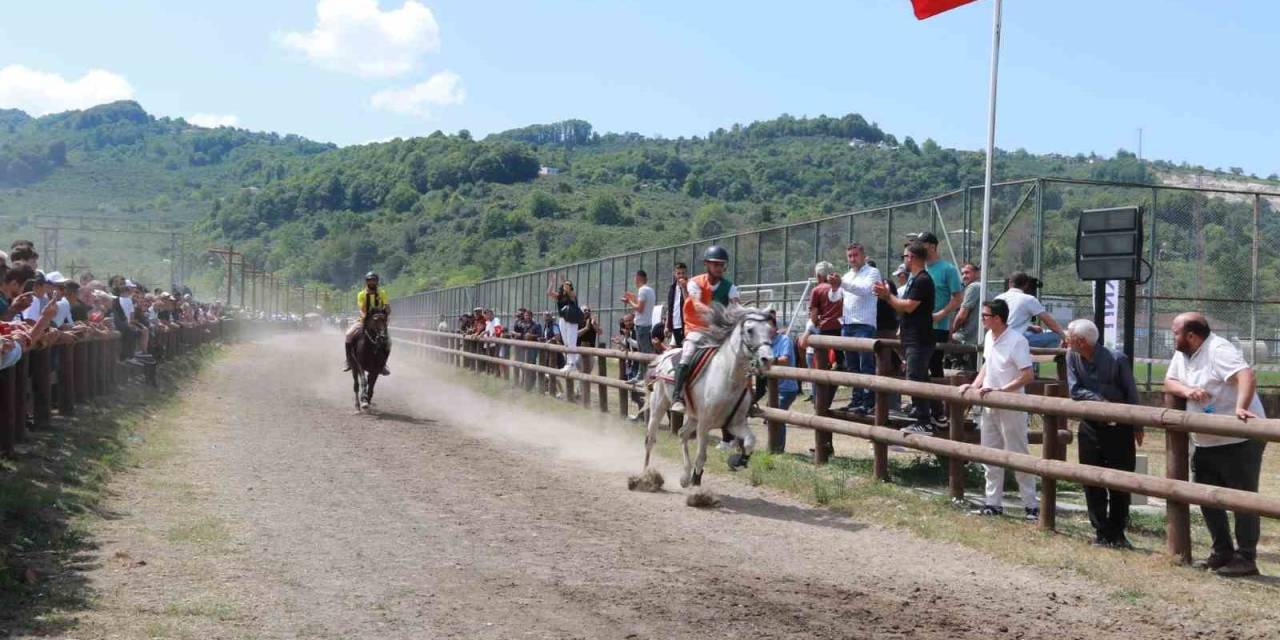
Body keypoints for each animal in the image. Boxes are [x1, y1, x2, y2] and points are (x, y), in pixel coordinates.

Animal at [640, 303, 768, 483]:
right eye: (750, 330)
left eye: (770, 329)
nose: (767, 358)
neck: (728, 378)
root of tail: (664, 356)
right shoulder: (704, 424)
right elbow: (701, 455)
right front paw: (697, 476)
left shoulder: (735, 423)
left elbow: (750, 442)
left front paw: (738, 460)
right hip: (659, 406)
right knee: (650, 439)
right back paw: (645, 475)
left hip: (693, 416)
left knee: (682, 434)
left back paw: (684, 476)